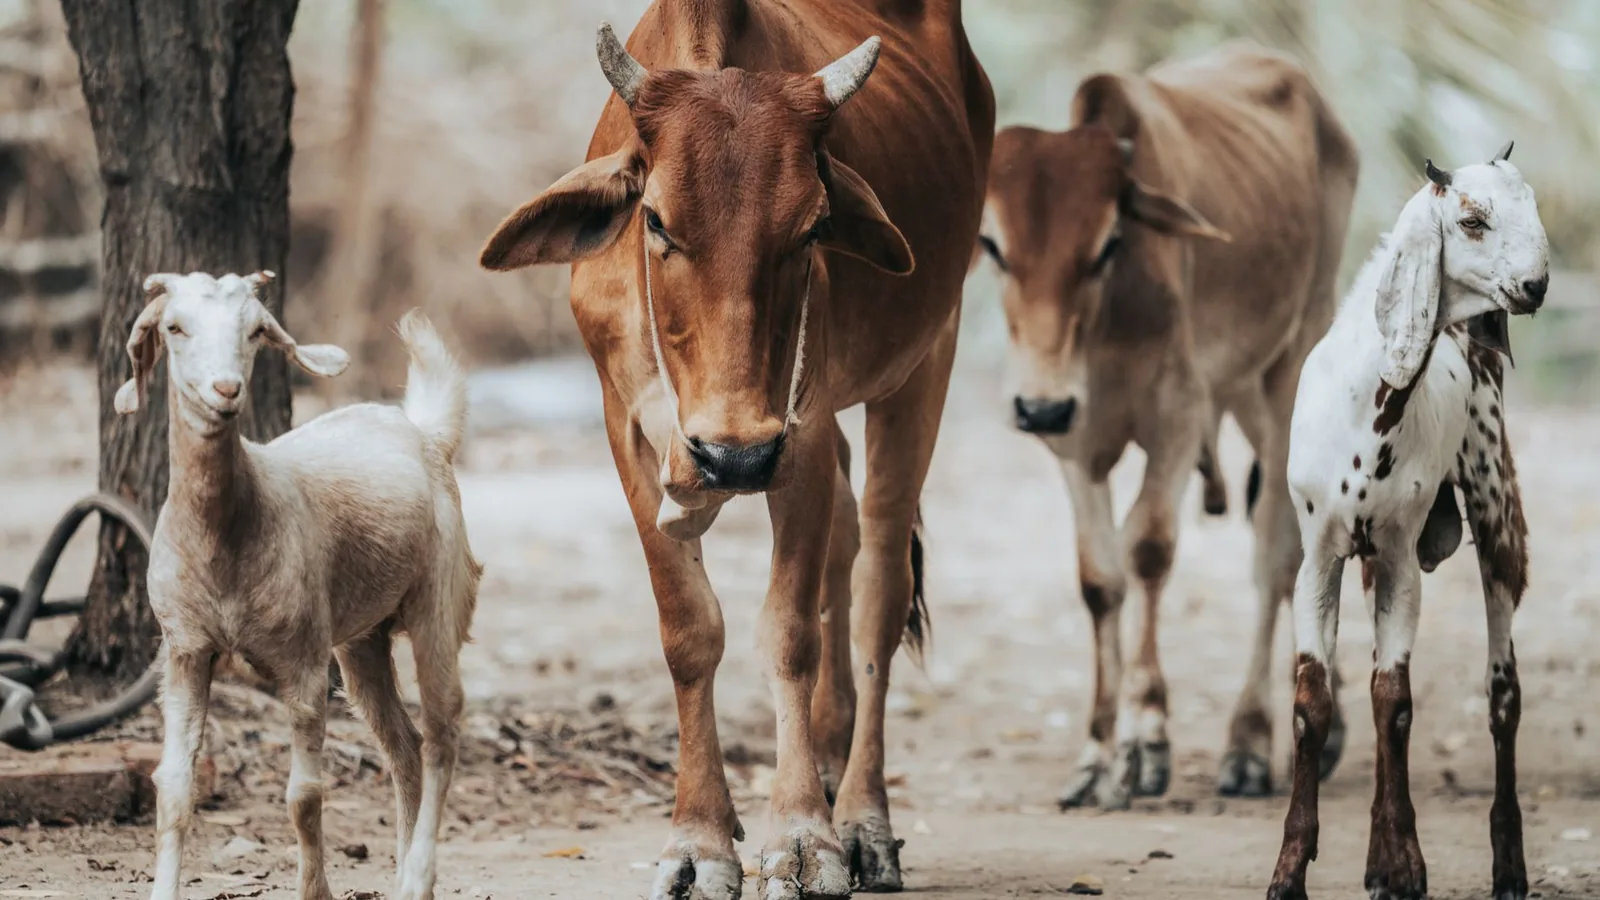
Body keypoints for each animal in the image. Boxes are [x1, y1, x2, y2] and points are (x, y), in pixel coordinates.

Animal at [115, 271, 481, 900]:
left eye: (255, 331)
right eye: (174, 327)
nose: (226, 388)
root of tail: (424, 430)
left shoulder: (304, 662)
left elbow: (303, 799)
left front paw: (315, 890)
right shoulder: (185, 651)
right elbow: (174, 790)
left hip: (439, 599)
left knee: (442, 734)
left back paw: (417, 877)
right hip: (361, 641)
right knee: (404, 745)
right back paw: (405, 869)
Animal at [479, 2, 994, 897]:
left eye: (813, 227)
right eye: (654, 220)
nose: (735, 461)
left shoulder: (801, 431)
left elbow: (789, 633)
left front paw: (804, 838)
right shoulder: (627, 427)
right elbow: (689, 631)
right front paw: (699, 839)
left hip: (926, 361)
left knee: (879, 587)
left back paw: (861, 817)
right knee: (847, 541)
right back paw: (829, 759)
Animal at [974, 42, 1359, 808]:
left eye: (1107, 245)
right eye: (993, 245)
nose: (1038, 406)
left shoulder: (1178, 420)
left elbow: (1148, 550)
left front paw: (1145, 739)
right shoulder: (1075, 446)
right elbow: (1101, 578)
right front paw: (1097, 755)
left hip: (1291, 369)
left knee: (1279, 557)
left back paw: (1252, 743)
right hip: (1238, 391)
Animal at [1268, 144, 1548, 900]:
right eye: (1472, 219)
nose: (1536, 285)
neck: (1368, 398)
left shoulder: (1397, 557)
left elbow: (1393, 701)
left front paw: (1401, 867)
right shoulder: (1320, 555)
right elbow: (1313, 703)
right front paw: (1290, 871)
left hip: (1496, 507)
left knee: (1503, 695)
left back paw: (1508, 868)